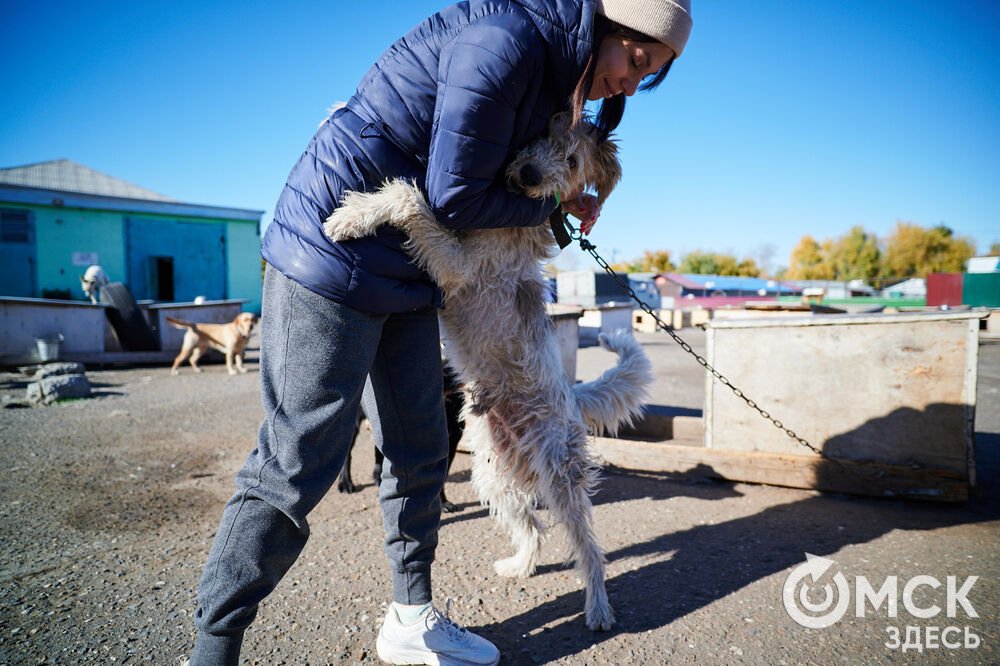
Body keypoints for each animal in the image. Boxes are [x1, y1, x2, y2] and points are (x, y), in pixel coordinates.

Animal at [186, 1, 688, 664]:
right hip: (493, 474)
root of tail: (572, 401)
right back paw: (518, 567)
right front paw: (336, 126)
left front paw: (348, 217)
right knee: (533, 529)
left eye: (574, 161)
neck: (506, 208)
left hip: (560, 475)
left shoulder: (454, 259)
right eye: (544, 134)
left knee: (587, 545)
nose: (532, 172)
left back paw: (599, 608)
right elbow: (406, 191)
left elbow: (409, 196)